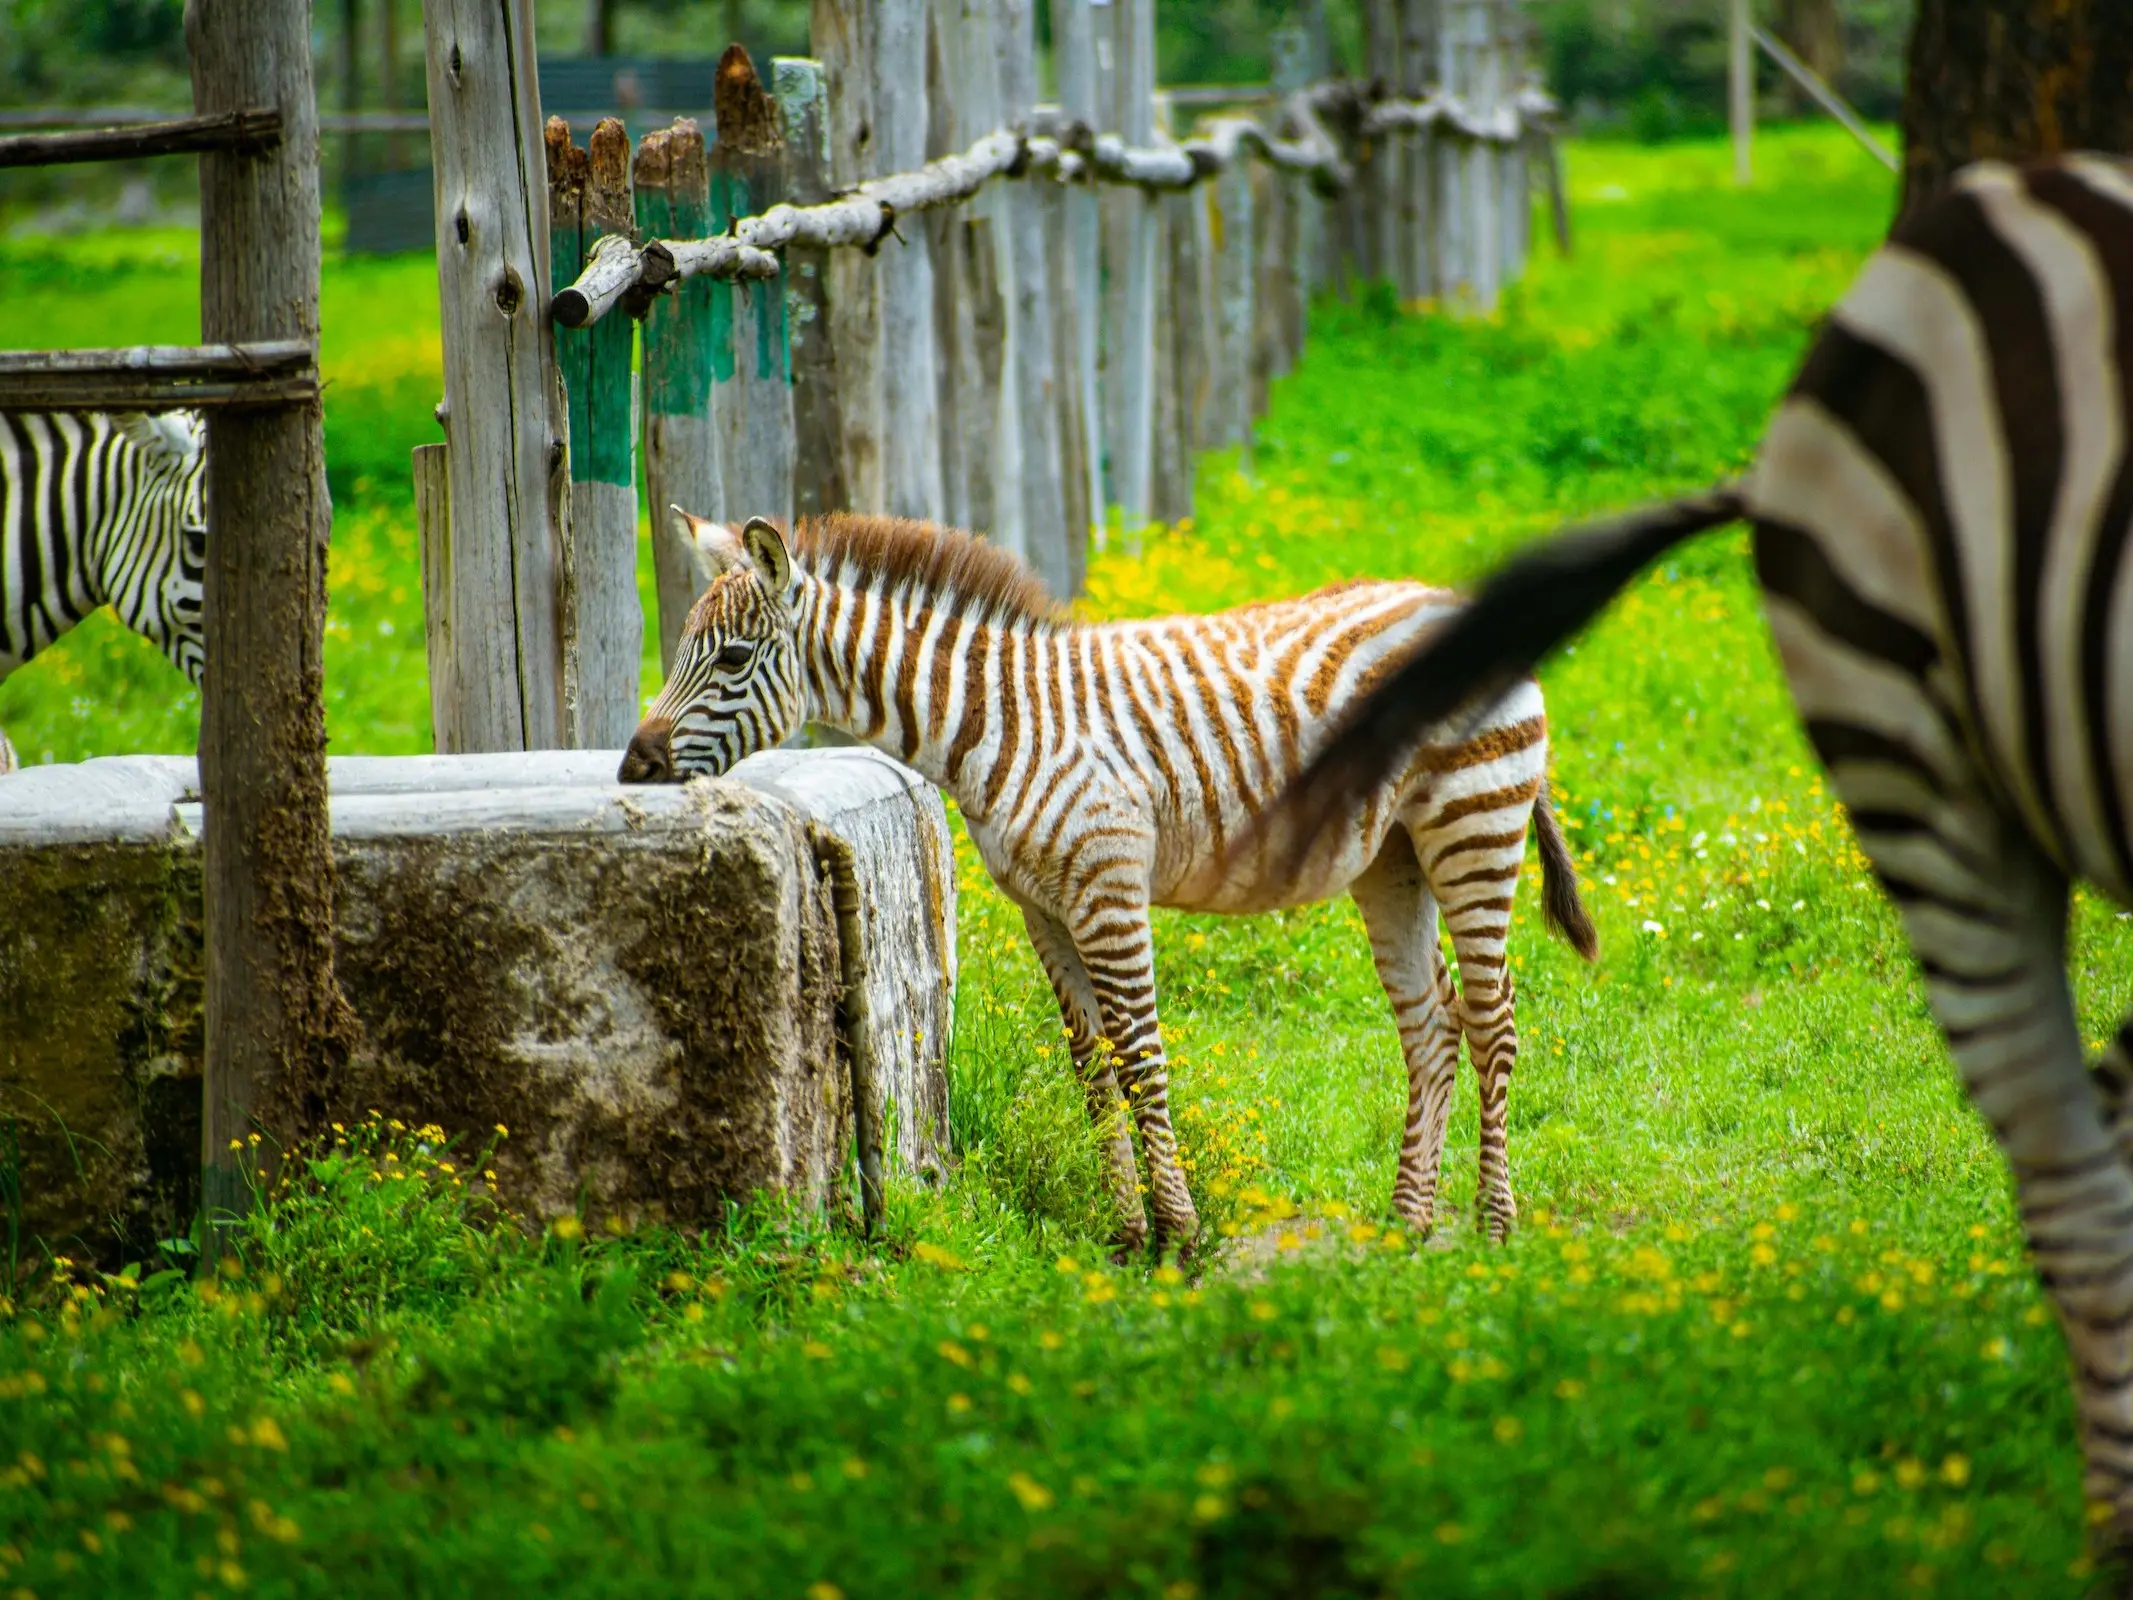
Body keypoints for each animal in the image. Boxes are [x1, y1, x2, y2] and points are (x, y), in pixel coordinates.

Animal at [610, 507, 1595, 1262]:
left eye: (731, 660)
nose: (632, 767)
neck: (999, 724)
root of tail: (1459, 603)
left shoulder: (1109, 886)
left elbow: (1141, 1059)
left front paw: (1182, 1238)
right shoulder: (1044, 907)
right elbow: (1091, 1069)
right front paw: (1128, 1236)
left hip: (1472, 823)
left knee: (1492, 1020)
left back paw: (1492, 1228)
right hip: (1393, 855)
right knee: (1430, 1024)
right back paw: (1404, 1226)